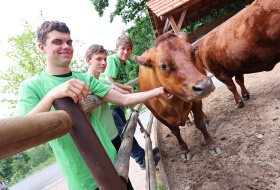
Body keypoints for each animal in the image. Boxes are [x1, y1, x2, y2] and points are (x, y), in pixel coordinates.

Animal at [133, 31, 221, 161]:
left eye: (193, 51)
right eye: (163, 66)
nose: (205, 85)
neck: (174, 102)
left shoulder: (195, 101)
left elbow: (200, 123)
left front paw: (212, 145)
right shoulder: (158, 116)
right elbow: (175, 131)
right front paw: (184, 149)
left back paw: (206, 119)